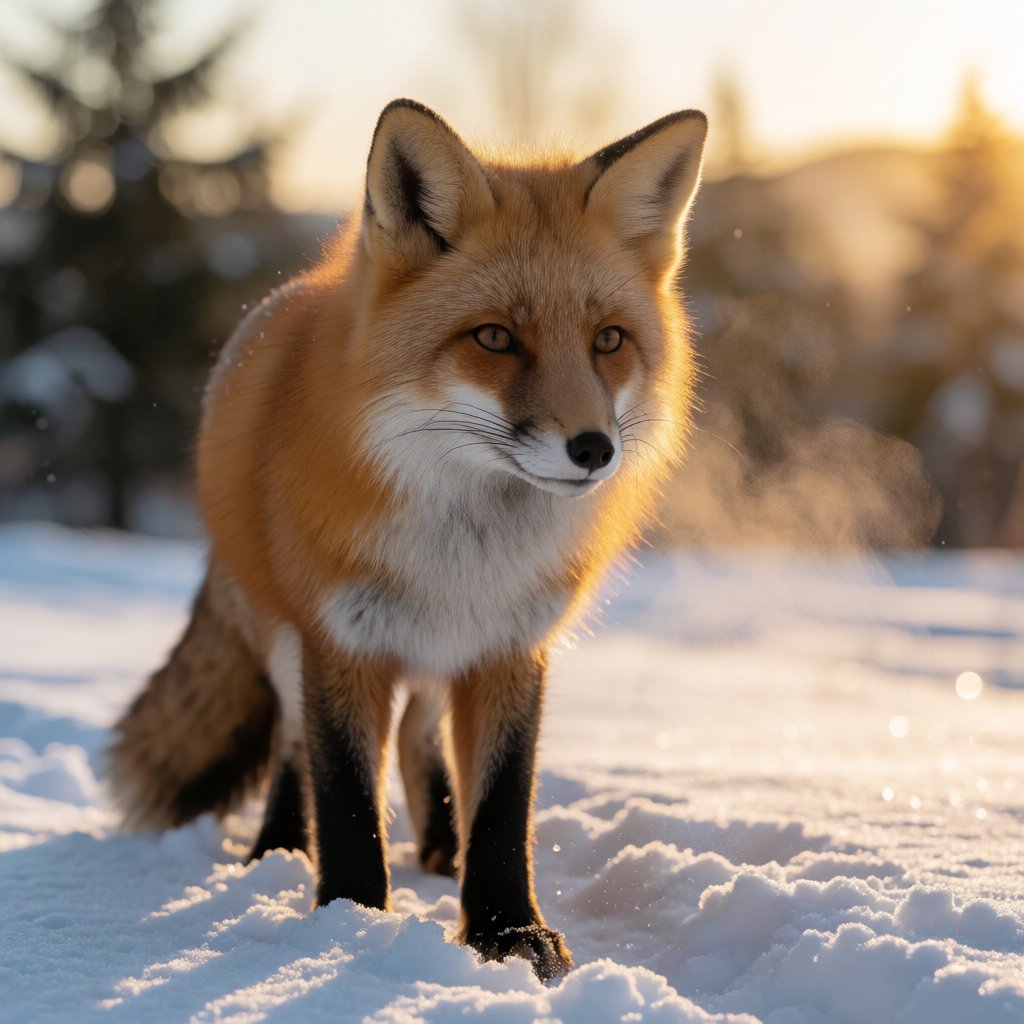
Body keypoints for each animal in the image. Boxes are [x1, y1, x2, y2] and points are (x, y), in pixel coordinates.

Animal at [108, 99, 707, 980]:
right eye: (494, 339)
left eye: (608, 340)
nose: (595, 449)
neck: (466, 555)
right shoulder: (342, 643)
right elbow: (349, 799)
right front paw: (350, 923)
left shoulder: (509, 647)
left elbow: (503, 808)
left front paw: (507, 931)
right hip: (287, 637)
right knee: (294, 747)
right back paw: (278, 852)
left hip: (428, 651)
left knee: (421, 731)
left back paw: (439, 849)